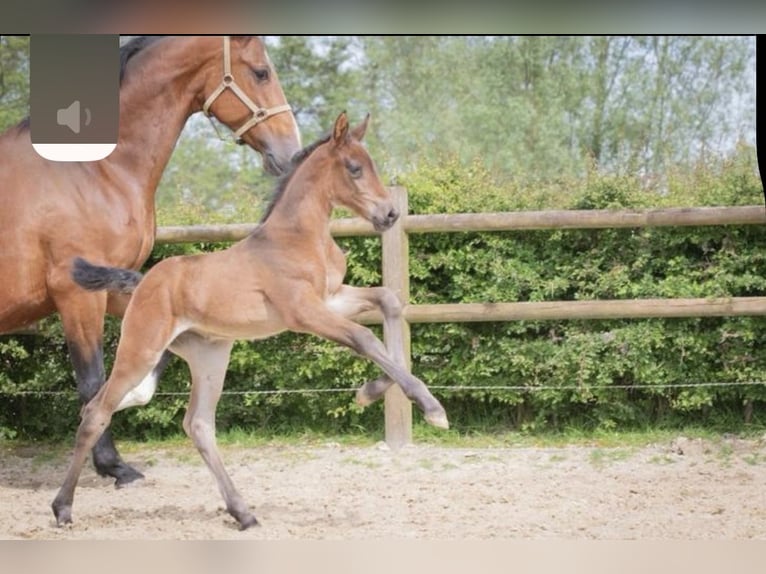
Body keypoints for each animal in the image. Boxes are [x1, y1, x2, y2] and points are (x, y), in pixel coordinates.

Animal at [0, 35, 304, 486]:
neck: (92, 169)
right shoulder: (76, 294)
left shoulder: (115, 285)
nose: (292, 152)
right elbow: (93, 380)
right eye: (261, 72)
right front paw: (113, 465)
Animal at [52, 112, 450, 532]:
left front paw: (370, 391)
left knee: (198, 425)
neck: (297, 237)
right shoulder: (304, 311)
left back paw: (243, 513)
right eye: (355, 168)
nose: (389, 215)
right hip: (140, 350)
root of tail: (145, 281)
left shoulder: (332, 298)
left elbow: (389, 302)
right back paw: (62, 508)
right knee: (96, 412)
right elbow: (364, 338)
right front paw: (431, 407)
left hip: (210, 355)